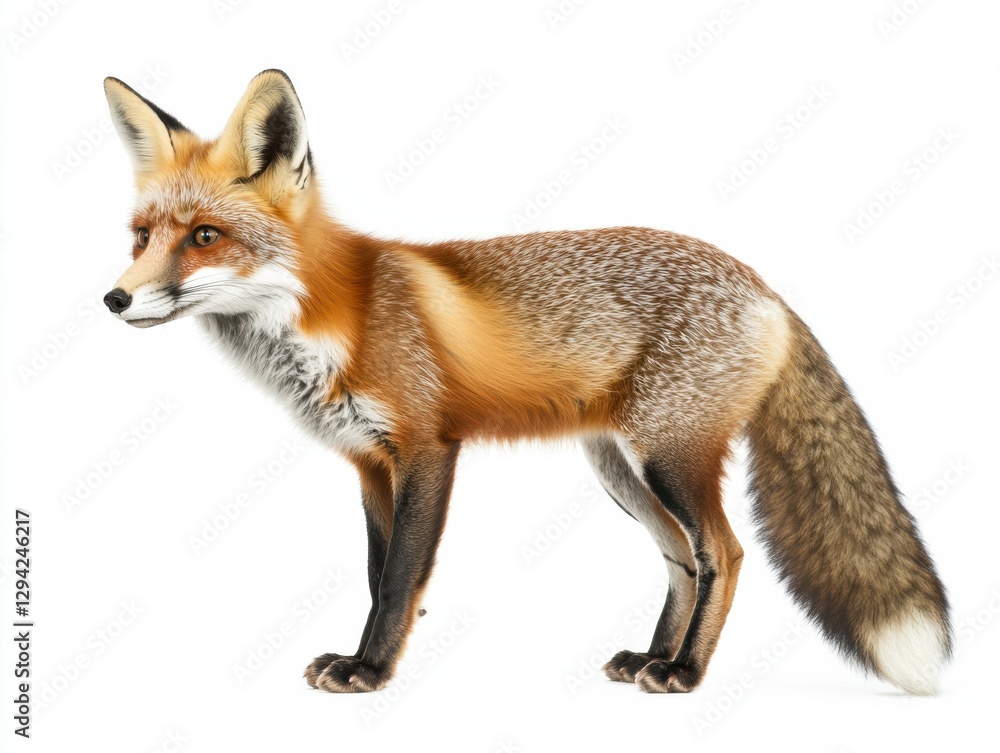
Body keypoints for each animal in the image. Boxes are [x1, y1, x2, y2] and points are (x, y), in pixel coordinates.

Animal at [101, 69, 951, 695]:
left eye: (205, 236)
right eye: (141, 238)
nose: (114, 299)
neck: (337, 316)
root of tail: (764, 284)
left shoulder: (428, 448)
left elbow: (397, 577)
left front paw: (371, 669)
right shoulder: (370, 462)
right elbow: (379, 574)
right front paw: (376, 656)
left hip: (670, 458)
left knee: (726, 552)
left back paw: (684, 670)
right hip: (620, 469)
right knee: (682, 557)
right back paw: (649, 657)